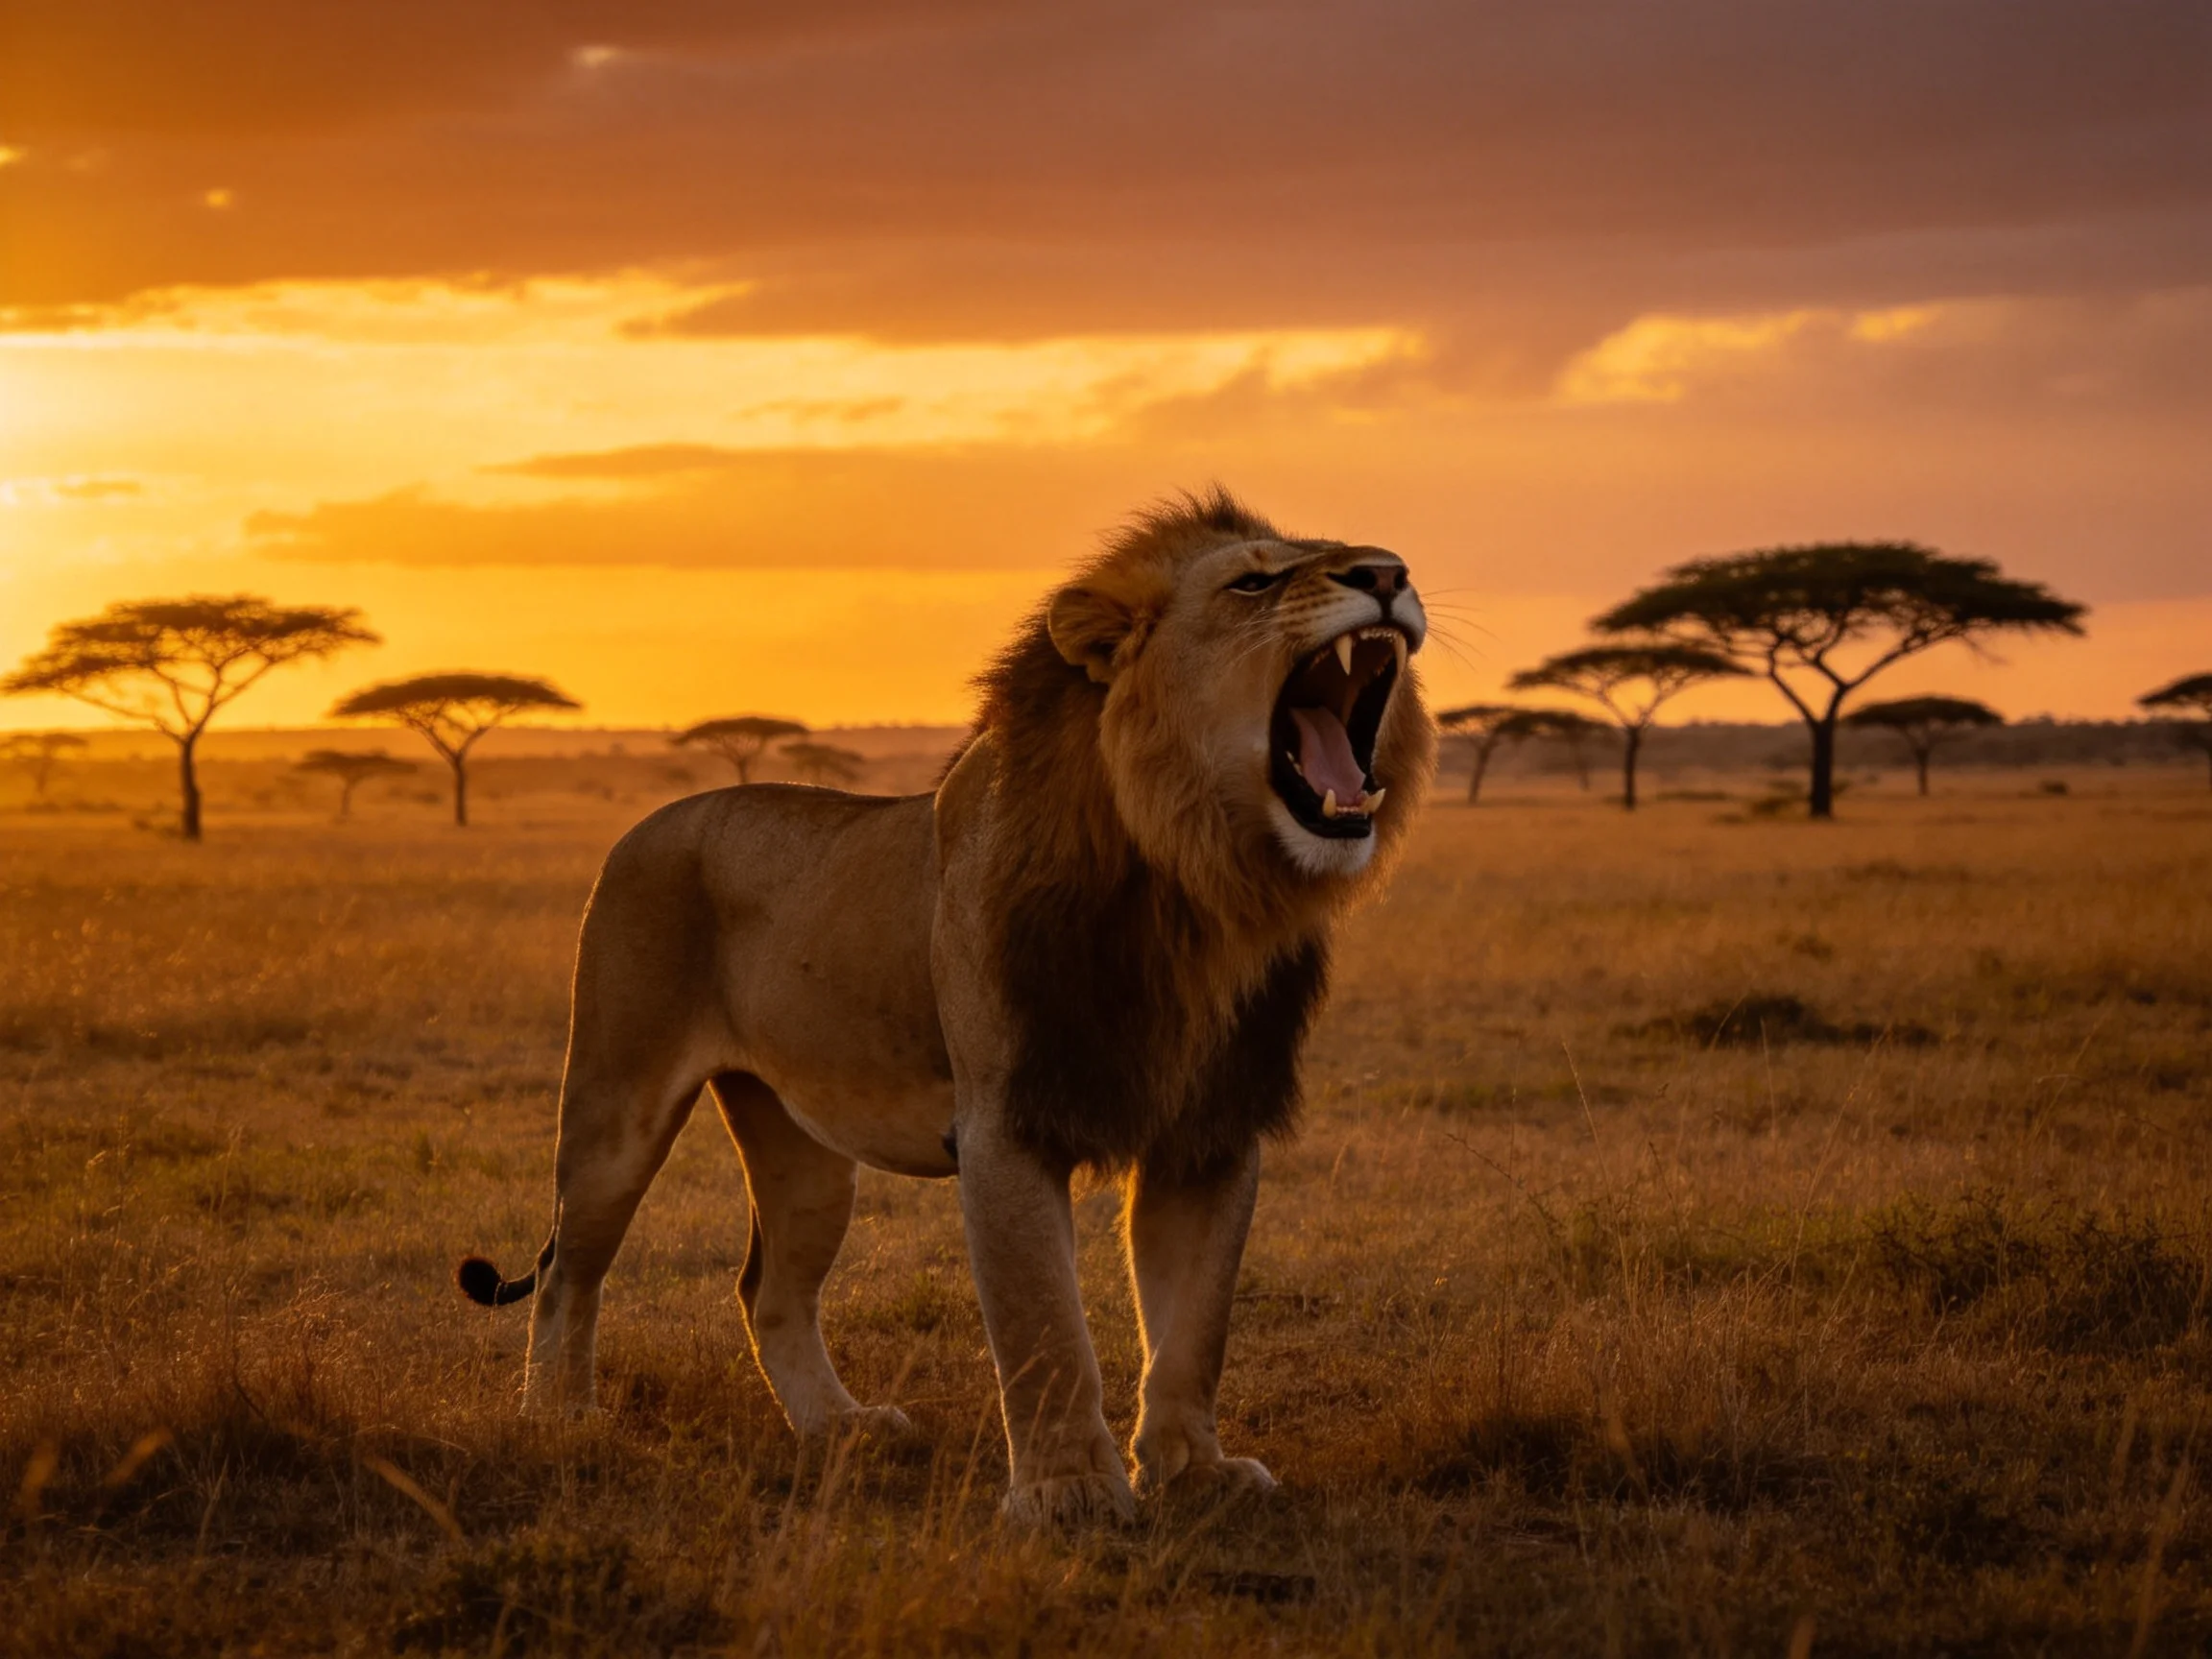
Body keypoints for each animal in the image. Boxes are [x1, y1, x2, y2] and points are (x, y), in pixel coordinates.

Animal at [457, 489, 1435, 1524]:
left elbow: (1193, 1325)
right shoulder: (1006, 1125)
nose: (1387, 572)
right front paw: (1069, 1492)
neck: (1193, 886)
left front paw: (1192, 1473)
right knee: (567, 1271)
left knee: (768, 1289)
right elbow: (1044, 1326)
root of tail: (651, 822)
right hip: (617, 1105)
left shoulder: (1209, 1128)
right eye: (1254, 583)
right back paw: (559, 1422)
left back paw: (841, 1430)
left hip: (804, 1151)